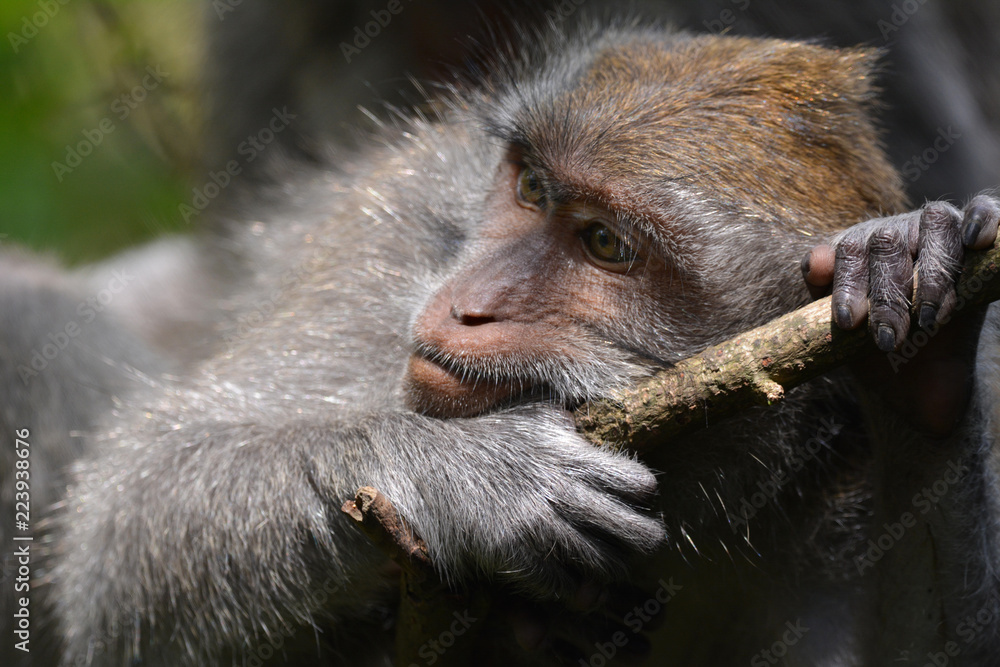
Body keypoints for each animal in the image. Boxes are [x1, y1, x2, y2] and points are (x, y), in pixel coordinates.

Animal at [11, 15, 1000, 667]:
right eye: (529, 188)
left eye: (604, 243)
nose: (470, 304)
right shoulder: (394, 246)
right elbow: (134, 512)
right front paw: (478, 478)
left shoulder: (828, 491)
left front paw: (922, 342)